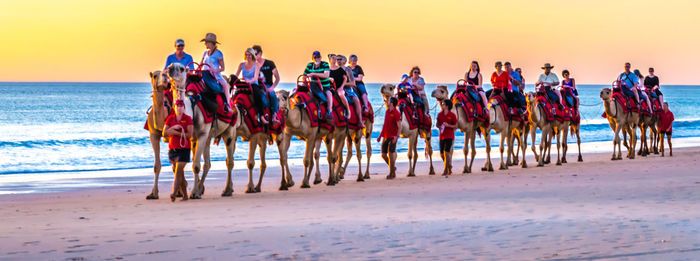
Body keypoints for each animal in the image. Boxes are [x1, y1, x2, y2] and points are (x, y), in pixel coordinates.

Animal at [166, 64, 241, 198]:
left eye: (181, 68)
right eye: (171, 65)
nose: (170, 68)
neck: (192, 108)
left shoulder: (202, 134)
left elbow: (196, 165)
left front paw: (194, 194)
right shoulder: (193, 137)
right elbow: (194, 164)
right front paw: (194, 191)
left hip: (230, 130)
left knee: (229, 161)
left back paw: (227, 190)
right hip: (209, 136)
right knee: (208, 163)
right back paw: (203, 188)